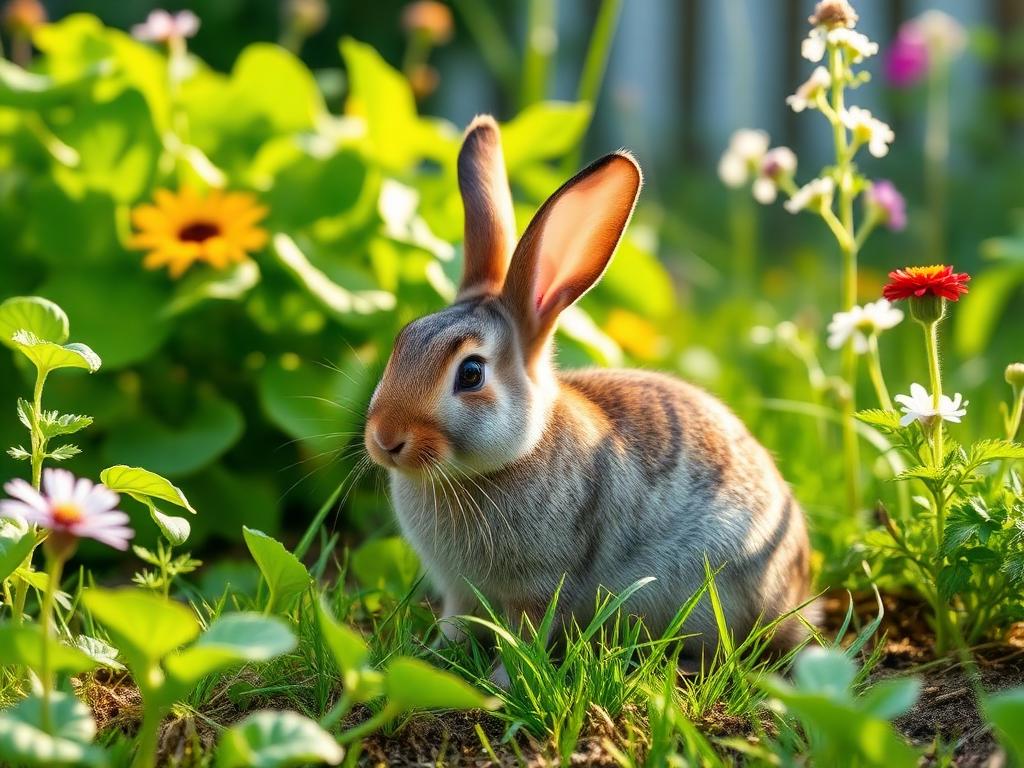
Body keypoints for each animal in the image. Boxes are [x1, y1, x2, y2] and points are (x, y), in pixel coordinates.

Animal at [363, 115, 814, 679]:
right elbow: (456, 621)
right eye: (402, 341)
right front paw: (434, 654)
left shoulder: (540, 589)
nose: (384, 440)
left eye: (470, 374)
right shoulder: (458, 591)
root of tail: (798, 588)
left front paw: (498, 682)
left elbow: (524, 638)